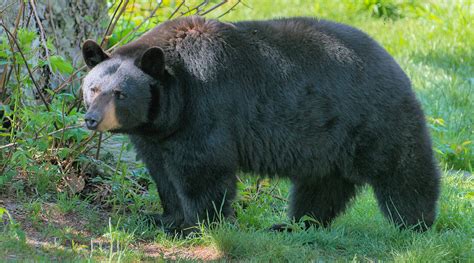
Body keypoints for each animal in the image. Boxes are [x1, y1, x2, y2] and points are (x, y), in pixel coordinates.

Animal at [81, 15, 440, 233]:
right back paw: (295, 225)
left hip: (373, 117)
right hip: (329, 137)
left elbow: (204, 169)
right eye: (92, 88)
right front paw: (165, 218)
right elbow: (161, 172)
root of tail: (393, 60)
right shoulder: (156, 133)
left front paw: (200, 225)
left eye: (120, 94)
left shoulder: (206, 108)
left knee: (404, 169)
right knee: (321, 185)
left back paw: (415, 223)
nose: (91, 119)